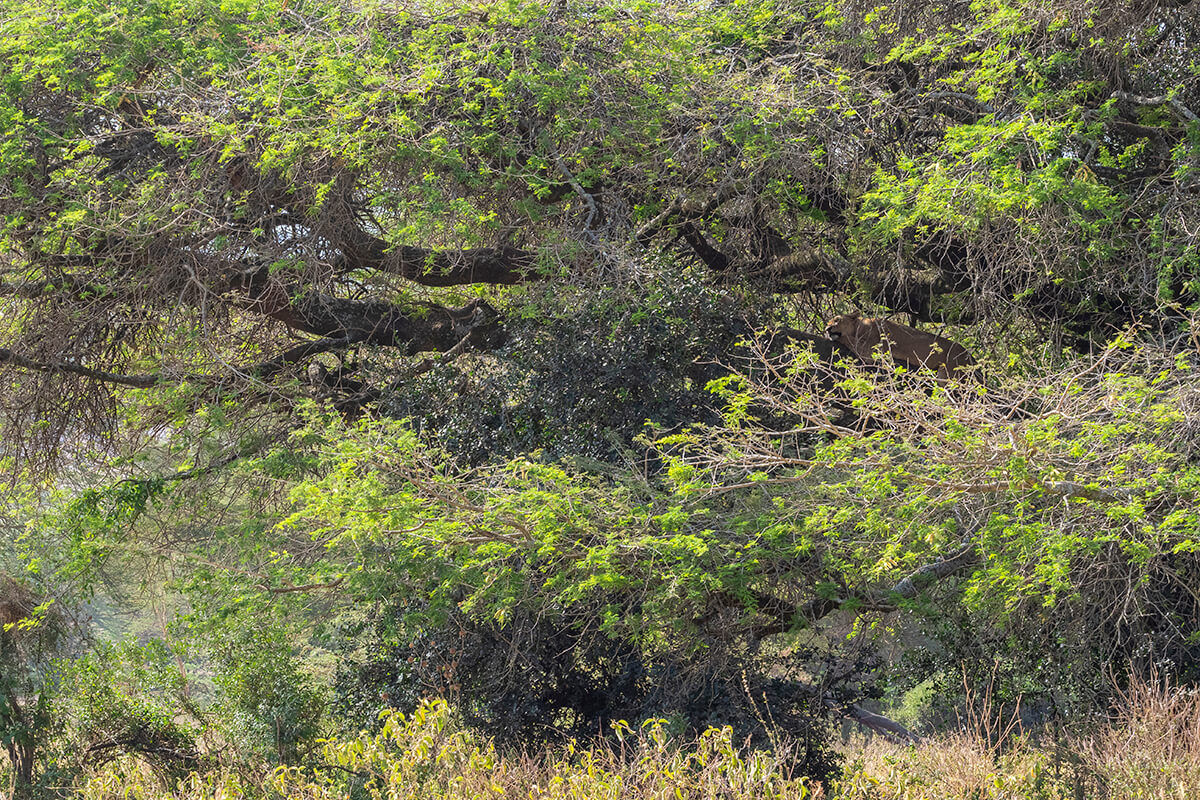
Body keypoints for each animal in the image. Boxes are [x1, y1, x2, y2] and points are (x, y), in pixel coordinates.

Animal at [824, 313, 978, 381]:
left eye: (837, 320)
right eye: (828, 322)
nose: (826, 329)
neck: (858, 327)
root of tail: (969, 356)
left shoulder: (871, 351)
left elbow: (848, 339)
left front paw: (834, 336)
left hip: (947, 372)